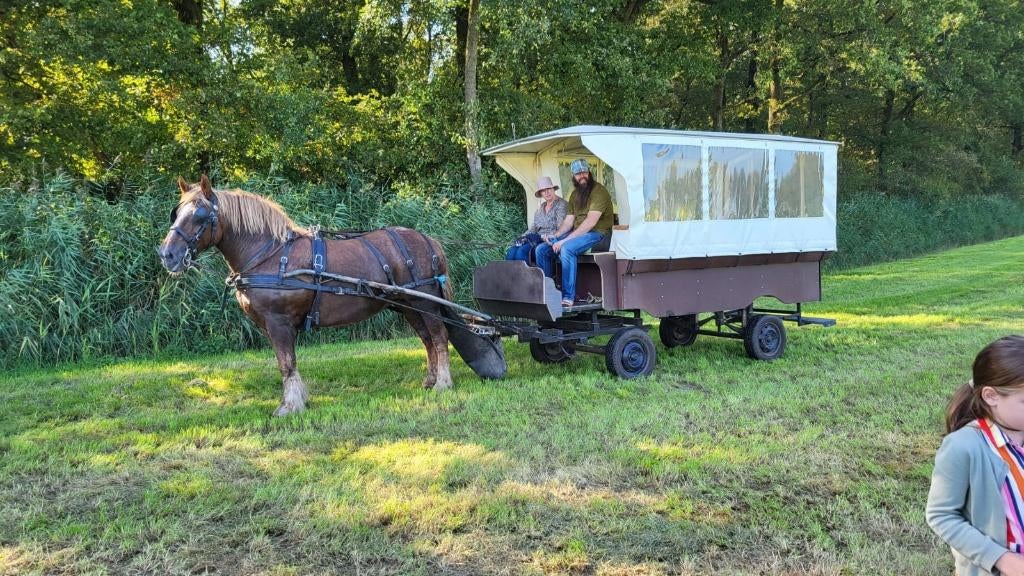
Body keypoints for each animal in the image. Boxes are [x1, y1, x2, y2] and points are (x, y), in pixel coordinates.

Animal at [157, 175, 460, 416]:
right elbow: (286, 362)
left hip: (424, 301)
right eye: (177, 213)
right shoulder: (270, 325)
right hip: (408, 305)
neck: (272, 256)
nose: (167, 255)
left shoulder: (278, 322)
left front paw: (290, 406)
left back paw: (443, 384)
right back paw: (430, 380)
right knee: (427, 340)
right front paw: (299, 399)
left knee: (438, 337)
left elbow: (286, 363)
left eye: (200, 216)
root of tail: (427, 240)